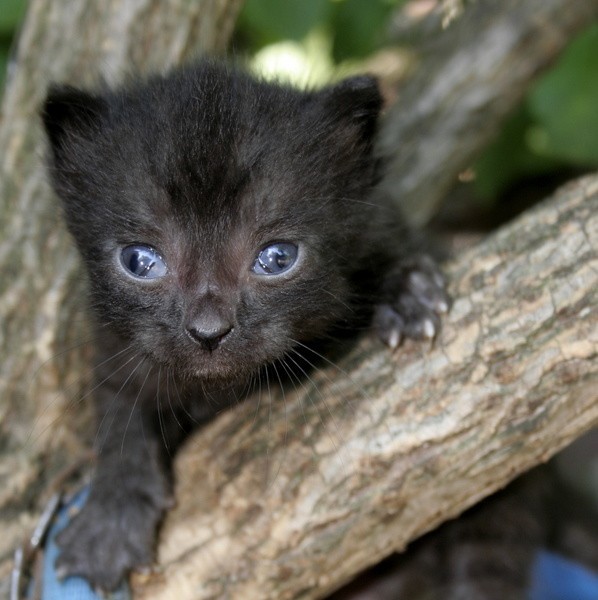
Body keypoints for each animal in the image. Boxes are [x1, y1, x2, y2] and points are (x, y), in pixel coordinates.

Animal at [42, 61, 450, 592]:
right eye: (139, 261)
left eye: (277, 258)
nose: (209, 331)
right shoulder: (115, 351)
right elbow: (121, 419)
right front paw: (109, 521)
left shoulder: (384, 224)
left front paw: (406, 291)